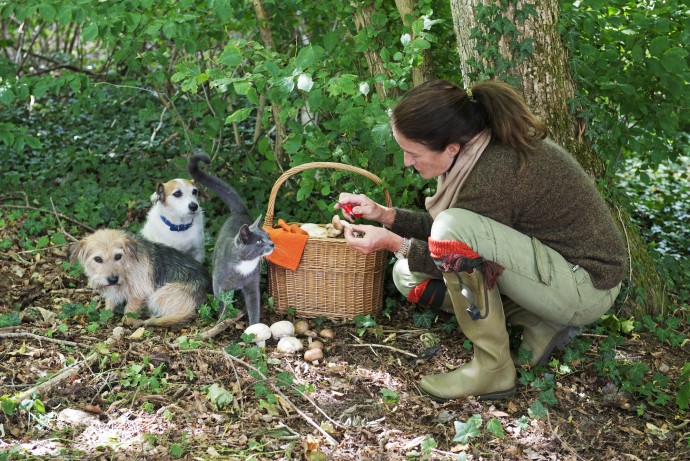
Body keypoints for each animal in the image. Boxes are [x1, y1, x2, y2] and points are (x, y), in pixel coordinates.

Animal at [70, 228, 211, 326]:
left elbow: (129, 310)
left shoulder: (140, 291)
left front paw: (131, 321)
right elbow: (110, 302)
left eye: (118, 256)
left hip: (160, 295)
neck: (128, 266)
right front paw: (106, 313)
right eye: (97, 259)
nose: (113, 279)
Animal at [189, 154, 276, 324]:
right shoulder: (218, 284)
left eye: (268, 236)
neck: (245, 265)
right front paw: (222, 321)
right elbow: (222, 303)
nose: (272, 244)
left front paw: (254, 326)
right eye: (259, 241)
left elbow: (254, 307)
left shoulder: (252, 286)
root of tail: (239, 213)